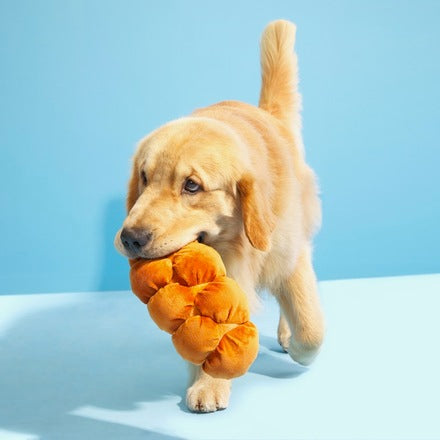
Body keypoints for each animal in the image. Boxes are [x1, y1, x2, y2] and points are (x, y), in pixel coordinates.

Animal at [114, 19, 324, 412]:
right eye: (145, 177)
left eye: (192, 186)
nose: (131, 239)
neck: (235, 244)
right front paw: (209, 381)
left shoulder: (291, 256)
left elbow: (311, 328)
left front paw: (299, 347)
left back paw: (285, 334)